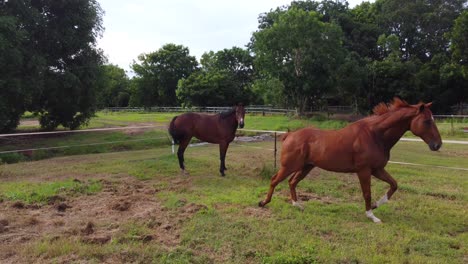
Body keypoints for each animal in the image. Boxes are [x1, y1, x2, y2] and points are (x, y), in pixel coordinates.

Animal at [258, 99, 440, 223]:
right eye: (427, 121)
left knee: (292, 182)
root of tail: (289, 135)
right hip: (289, 166)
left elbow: (394, 185)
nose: (437, 145)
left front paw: (376, 205)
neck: (375, 135)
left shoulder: (377, 169)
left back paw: (298, 205)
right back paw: (263, 202)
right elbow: (367, 193)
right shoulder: (364, 170)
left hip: (306, 167)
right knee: (275, 180)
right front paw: (371, 215)